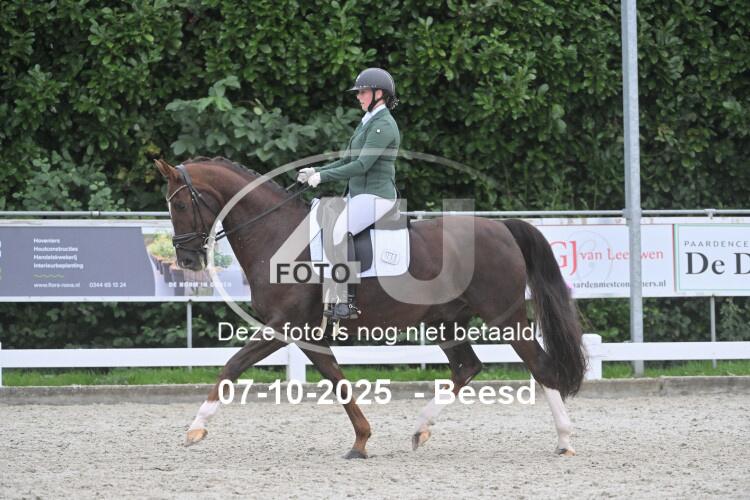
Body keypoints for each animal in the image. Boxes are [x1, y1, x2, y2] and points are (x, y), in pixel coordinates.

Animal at [155, 156, 587, 458]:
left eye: (180, 206)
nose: (188, 260)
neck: (275, 235)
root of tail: (501, 227)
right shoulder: (309, 333)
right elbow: (337, 380)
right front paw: (361, 441)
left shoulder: (283, 326)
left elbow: (232, 365)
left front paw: (195, 428)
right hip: (446, 321)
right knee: (467, 367)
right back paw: (420, 429)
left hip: (504, 318)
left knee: (539, 367)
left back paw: (565, 441)